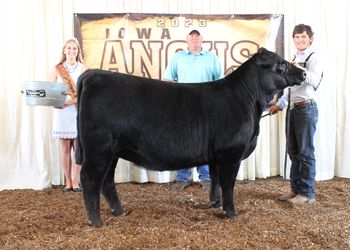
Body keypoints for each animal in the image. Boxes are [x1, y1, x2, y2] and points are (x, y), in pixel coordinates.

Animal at [75, 47, 304, 228]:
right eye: (281, 64)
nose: (303, 73)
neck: (248, 100)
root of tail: (92, 74)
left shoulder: (216, 156)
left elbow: (216, 181)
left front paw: (215, 204)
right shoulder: (231, 153)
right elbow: (228, 185)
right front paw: (231, 213)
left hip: (112, 151)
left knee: (106, 181)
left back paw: (119, 212)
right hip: (98, 149)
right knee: (90, 179)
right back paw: (96, 221)